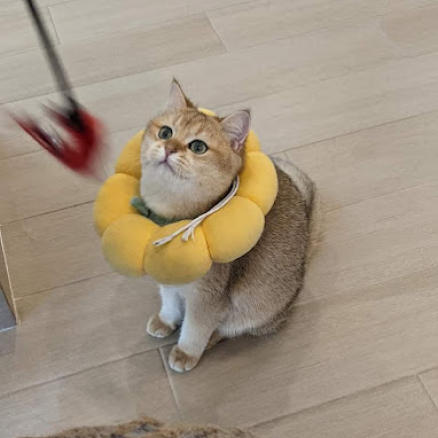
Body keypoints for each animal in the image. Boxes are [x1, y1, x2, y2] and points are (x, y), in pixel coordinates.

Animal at [140, 79, 318, 372]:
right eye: (165, 132)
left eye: (198, 147)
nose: (168, 149)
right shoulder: (167, 279)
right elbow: (169, 301)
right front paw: (166, 320)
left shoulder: (208, 298)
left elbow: (196, 326)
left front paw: (186, 352)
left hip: (255, 302)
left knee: (236, 328)